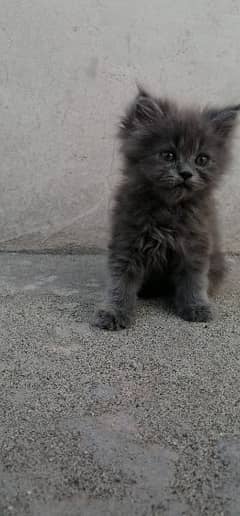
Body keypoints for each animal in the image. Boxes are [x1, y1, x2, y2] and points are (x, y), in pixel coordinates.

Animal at [93, 88, 238, 330]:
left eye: (202, 159)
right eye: (169, 155)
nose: (186, 173)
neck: (168, 209)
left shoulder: (196, 244)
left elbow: (194, 280)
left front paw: (196, 306)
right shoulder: (127, 240)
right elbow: (120, 282)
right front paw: (114, 311)